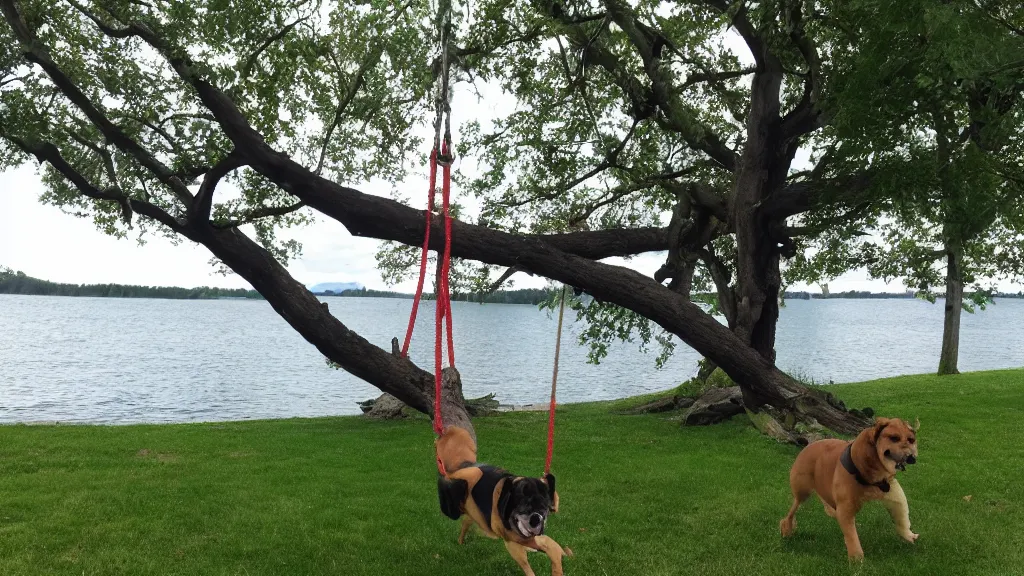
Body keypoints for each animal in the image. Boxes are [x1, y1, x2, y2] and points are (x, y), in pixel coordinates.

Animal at [434, 424, 573, 569]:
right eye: (524, 507)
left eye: (544, 508)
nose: (536, 519)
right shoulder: (511, 538)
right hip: (464, 486)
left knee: (466, 521)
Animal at [782, 414, 921, 557]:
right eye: (894, 438)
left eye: (911, 440)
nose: (912, 458)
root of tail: (808, 447)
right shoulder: (846, 507)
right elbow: (851, 535)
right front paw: (857, 558)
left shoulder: (891, 491)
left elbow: (901, 514)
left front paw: (908, 535)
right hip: (802, 490)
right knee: (793, 510)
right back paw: (787, 529)